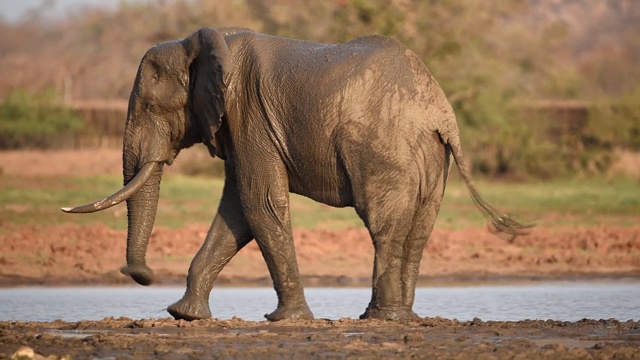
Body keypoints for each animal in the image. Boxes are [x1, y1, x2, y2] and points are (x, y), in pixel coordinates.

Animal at [63, 26, 528, 322]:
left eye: (149, 107)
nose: (140, 274)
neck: (203, 42)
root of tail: (439, 111)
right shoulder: (239, 124)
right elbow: (236, 213)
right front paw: (186, 316)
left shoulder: (246, 112)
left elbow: (260, 204)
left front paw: (284, 319)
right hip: (431, 157)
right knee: (419, 230)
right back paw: (399, 317)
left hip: (384, 149)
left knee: (384, 227)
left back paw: (380, 318)